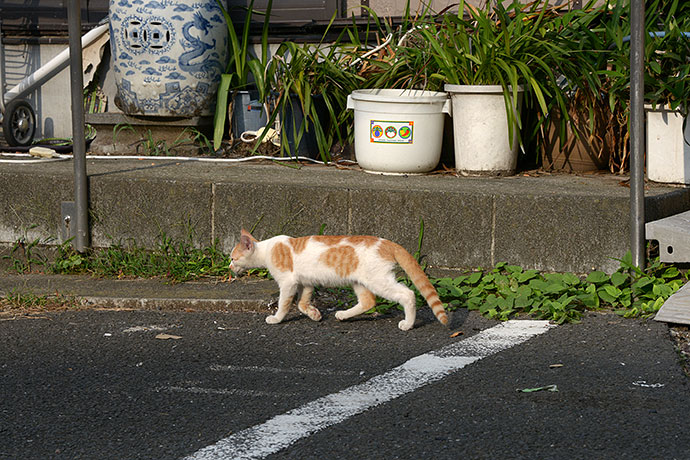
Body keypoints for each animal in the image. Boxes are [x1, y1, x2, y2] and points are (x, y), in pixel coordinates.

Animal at [228, 230, 448, 330]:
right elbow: (302, 303)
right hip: (359, 281)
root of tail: (387, 242)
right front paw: (314, 314)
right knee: (368, 302)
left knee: (407, 294)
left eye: (233, 258)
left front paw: (276, 318)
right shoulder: (306, 282)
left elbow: (284, 304)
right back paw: (343, 315)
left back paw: (408, 323)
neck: (268, 249)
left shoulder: (288, 282)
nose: (229, 267)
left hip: (378, 280)